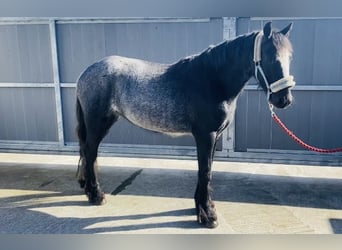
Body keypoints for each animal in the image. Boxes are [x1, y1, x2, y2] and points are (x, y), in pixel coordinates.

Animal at [76, 22, 296, 228]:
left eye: (290, 58)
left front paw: (202, 207)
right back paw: (96, 195)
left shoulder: (214, 136)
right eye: (270, 58)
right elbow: (205, 171)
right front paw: (208, 215)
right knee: (90, 151)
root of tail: (86, 73)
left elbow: (207, 170)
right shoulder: (205, 135)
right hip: (98, 123)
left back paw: (88, 189)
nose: (284, 100)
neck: (213, 80)